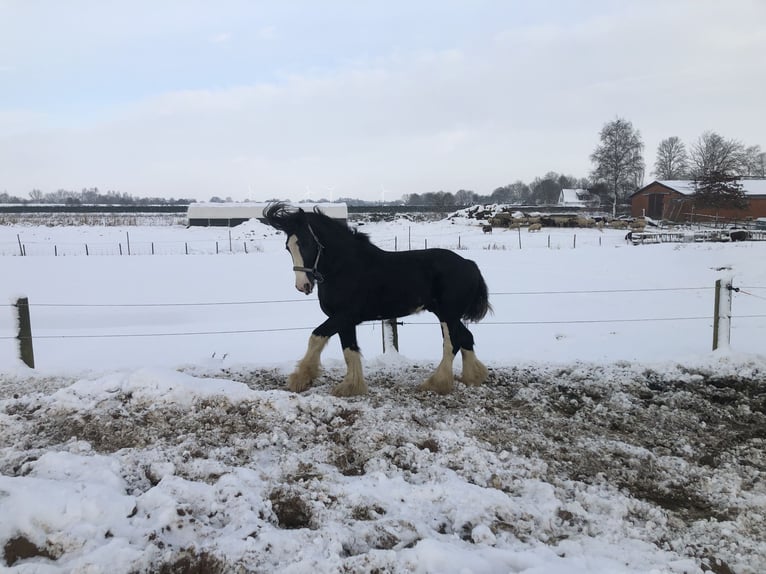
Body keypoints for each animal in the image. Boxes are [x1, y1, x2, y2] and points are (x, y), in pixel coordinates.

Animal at [263, 202, 491, 397]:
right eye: (288, 247)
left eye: (307, 243)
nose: (303, 285)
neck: (344, 268)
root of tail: (469, 264)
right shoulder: (345, 321)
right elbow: (349, 350)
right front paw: (351, 386)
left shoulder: (343, 316)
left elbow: (316, 337)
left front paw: (301, 378)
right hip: (446, 313)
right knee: (466, 337)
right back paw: (472, 377)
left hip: (448, 314)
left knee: (452, 343)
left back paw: (436, 383)